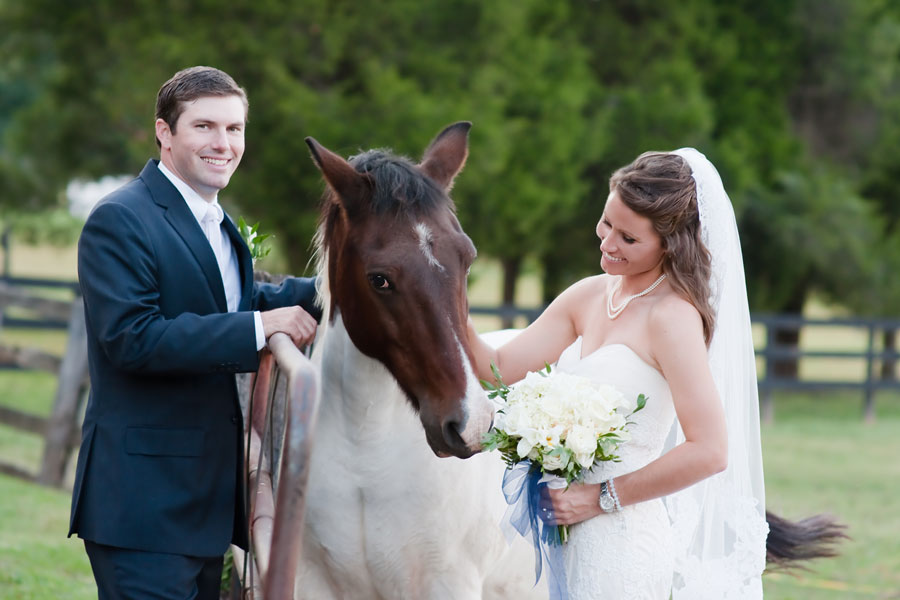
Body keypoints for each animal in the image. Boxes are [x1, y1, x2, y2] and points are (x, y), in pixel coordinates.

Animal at [298, 123, 544, 600]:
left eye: (467, 259)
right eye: (380, 279)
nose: (471, 424)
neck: (366, 456)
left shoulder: (448, 583)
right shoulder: (311, 583)